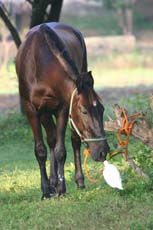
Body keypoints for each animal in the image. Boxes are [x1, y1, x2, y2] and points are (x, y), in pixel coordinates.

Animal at [15, 22, 109, 199]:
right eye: (84, 111)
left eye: (101, 109)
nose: (103, 151)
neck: (40, 62)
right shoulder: (33, 110)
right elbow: (41, 150)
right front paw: (46, 190)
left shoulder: (63, 109)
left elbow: (61, 151)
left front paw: (62, 188)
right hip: (45, 112)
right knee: (51, 139)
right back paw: (52, 182)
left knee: (74, 140)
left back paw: (78, 181)